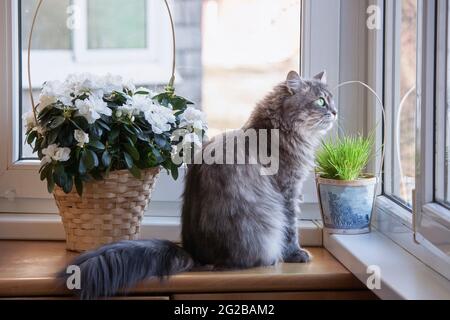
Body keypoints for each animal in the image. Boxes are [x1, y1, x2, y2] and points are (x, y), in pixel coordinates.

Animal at [65, 70, 336, 300]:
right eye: (321, 102)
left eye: (331, 100)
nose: (334, 112)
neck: (276, 130)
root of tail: (195, 254)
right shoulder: (288, 191)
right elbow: (291, 229)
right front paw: (296, 254)